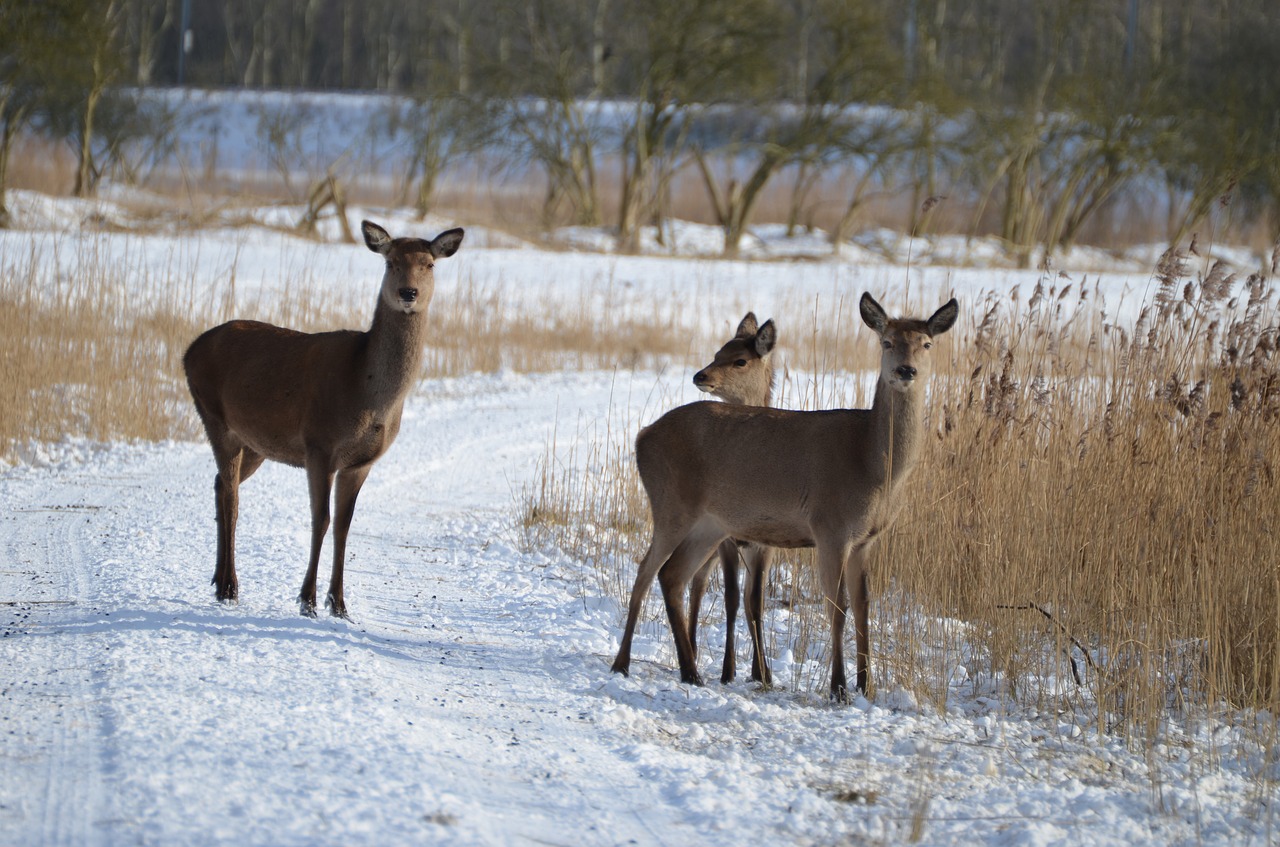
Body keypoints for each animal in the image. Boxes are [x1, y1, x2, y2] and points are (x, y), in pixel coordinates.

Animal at [177, 218, 463, 621]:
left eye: (430, 264)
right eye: (390, 261)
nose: (408, 292)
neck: (368, 393)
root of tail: (188, 351)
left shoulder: (361, 461)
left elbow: (344, 525)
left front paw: (339, 603)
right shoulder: (319, 444)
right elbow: (321, 519)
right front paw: (307, 600)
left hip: (256, 443)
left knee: (220, 484)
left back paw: (219, 580)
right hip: (214, 415)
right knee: (232, 494)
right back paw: (230, 587)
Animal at [611, 295, 962, 701]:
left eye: (927, 343)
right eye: (886, 342)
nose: (906, 370)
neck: (872, 465)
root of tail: (642, 436)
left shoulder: (865, 539)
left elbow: (863, 606)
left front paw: (866, 686)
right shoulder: (830, 527)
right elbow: (837, 606)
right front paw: (838, 688)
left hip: (711, 524)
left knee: (673, 575)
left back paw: (690, 671)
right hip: (671, 505)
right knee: (647, 571)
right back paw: (624, 664)